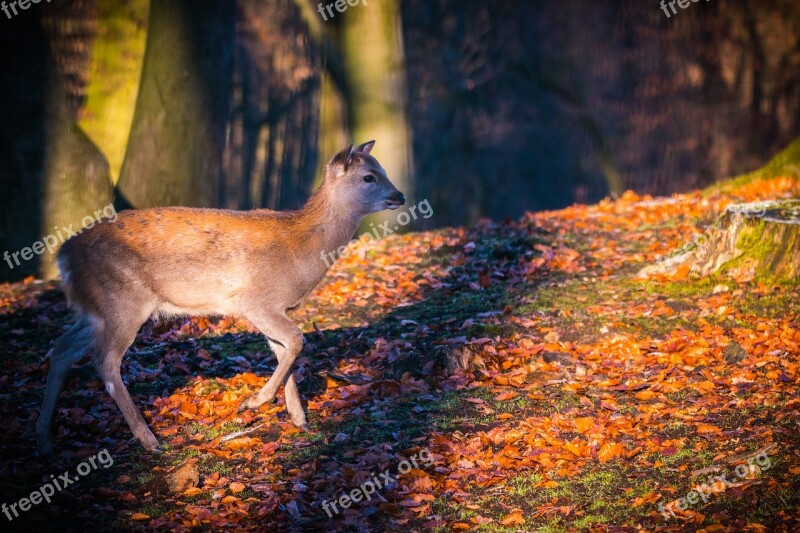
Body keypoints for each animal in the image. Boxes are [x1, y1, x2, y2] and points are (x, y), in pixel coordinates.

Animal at [34, 140, 404, 454]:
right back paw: (149, 440)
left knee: (62, 347)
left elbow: (284, 350)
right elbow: (297, 341)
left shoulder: (270, 307)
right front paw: (253, 402)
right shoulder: (256, 300)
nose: (400, 196)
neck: (302, 250)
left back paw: (44, 439)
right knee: (105, 360)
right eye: (369, 176)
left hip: (96, 310)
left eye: (384, 169)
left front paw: (298, 418)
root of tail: (63, 256)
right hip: (123, 302)